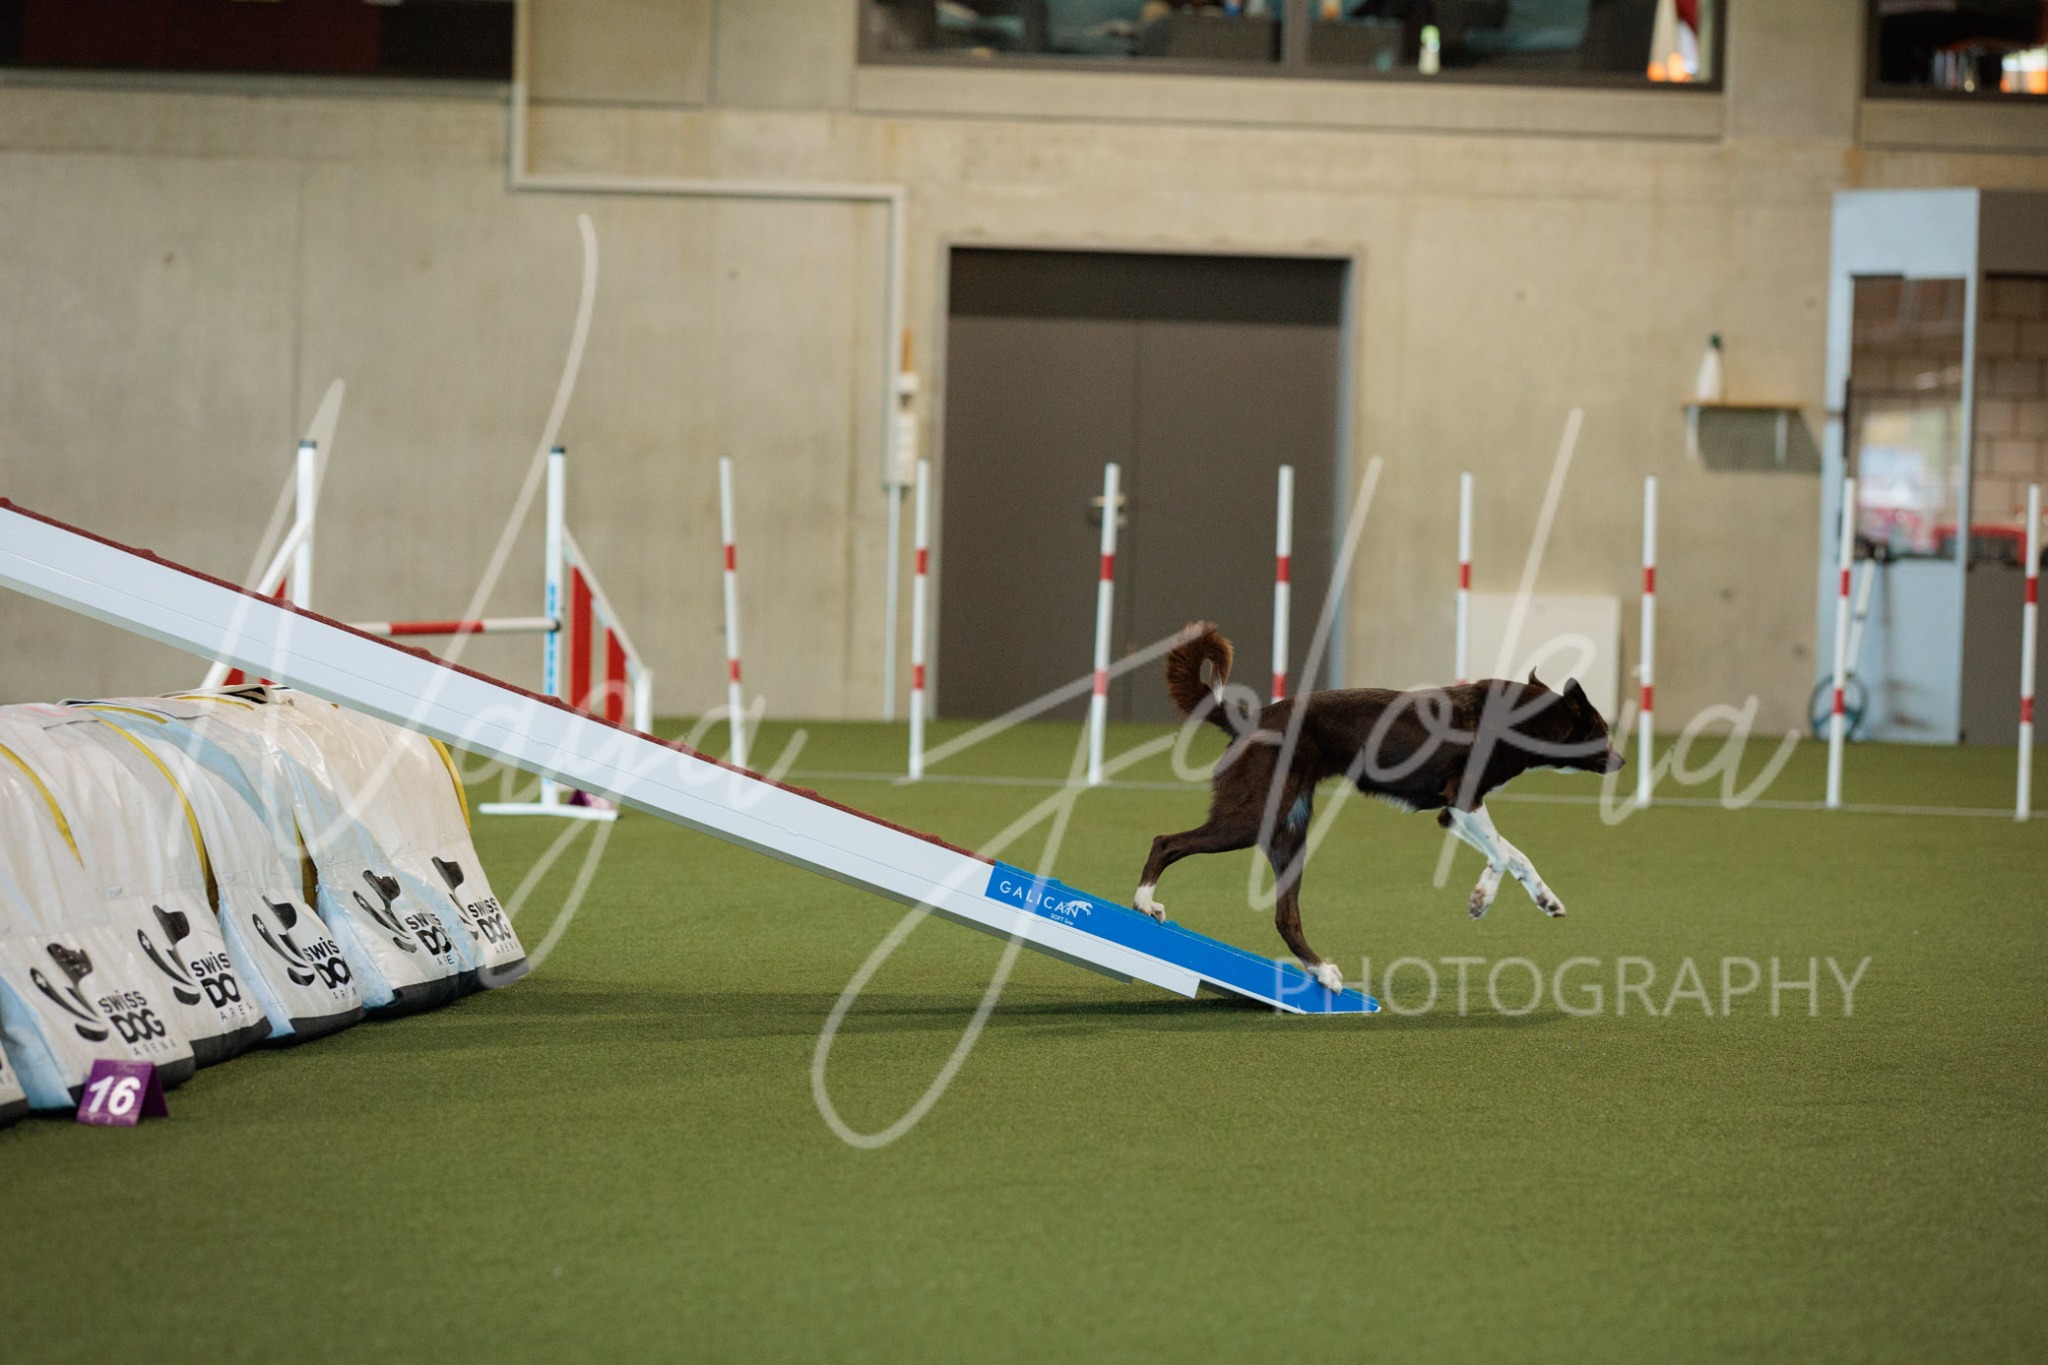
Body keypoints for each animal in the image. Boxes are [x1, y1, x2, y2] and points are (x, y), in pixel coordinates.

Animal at [1133, 623, 1625, 992]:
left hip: (1289, 834)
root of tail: (1251, 719)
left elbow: (1512, 854)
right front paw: (1481, 900)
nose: (1622, 760)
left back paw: (1322, 972)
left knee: (1285, 917)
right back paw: (1143, 902)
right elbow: (1504, 854)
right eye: (1602, 732)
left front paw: (1545, 899)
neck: (1524, 720)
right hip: (1248, 819)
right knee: (1165, 842)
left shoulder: (1452, 812)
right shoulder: (1463, 800)